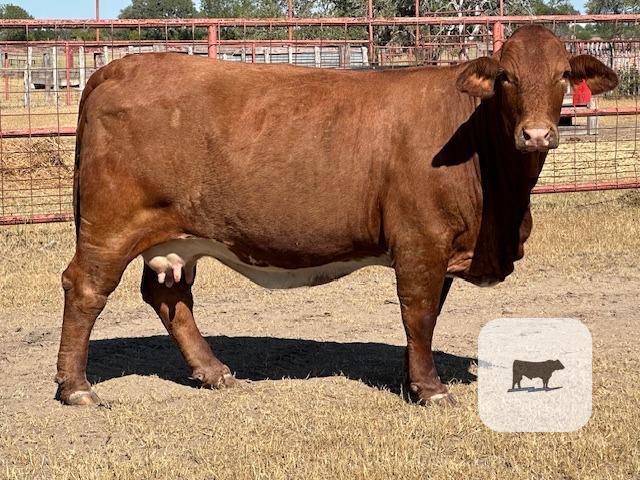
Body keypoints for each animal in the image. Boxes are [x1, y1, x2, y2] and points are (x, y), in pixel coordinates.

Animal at [55, 25, 617, 406]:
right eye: (506, 77)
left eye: (563, 75)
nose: (537, 134)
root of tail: (116, 67)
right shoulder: (421, 240)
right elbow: (418, 312)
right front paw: (430, 388)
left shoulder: (443, 246)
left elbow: (429, 315)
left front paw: (413, 379)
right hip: (110, 227)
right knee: (86, 289)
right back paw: (77, 387)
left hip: (177, 235)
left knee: (170, 298)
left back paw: (214, 372)